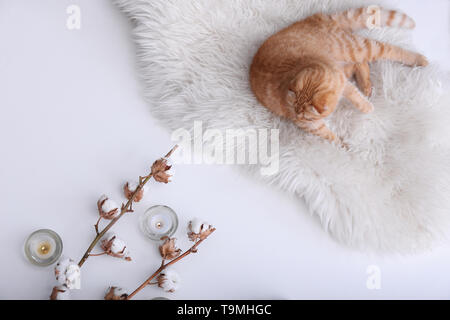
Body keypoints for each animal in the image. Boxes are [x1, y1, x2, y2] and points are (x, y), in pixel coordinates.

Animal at [250, 6, 428, 144]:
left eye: (307, 117)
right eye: (300, 116)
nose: (298, 117)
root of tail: (317, 18)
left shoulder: (343, 83)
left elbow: (355, 97)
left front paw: (367, 107)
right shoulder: (314, 123)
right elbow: (328, 135)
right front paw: (342, 146)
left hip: (354, 48)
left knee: (387, 49)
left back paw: (418, 59)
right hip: (349, 58)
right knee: (361, 63)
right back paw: (366, 85)